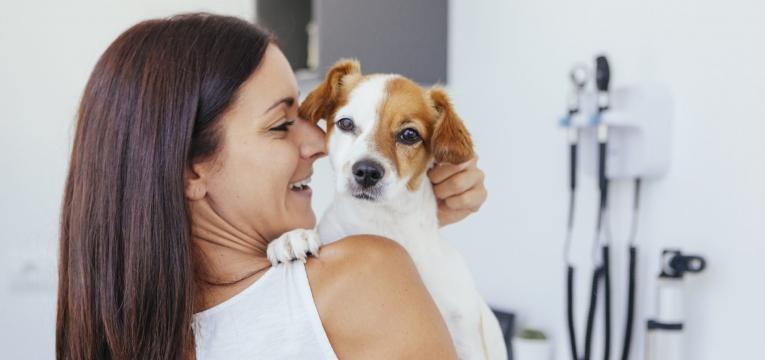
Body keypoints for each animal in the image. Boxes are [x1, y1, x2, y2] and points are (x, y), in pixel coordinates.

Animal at [268, 60, 508, 358]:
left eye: (409, 134)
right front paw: (293, 237)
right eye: (346, 123)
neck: (382, 222)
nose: (367, 172)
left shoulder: (466, 337)